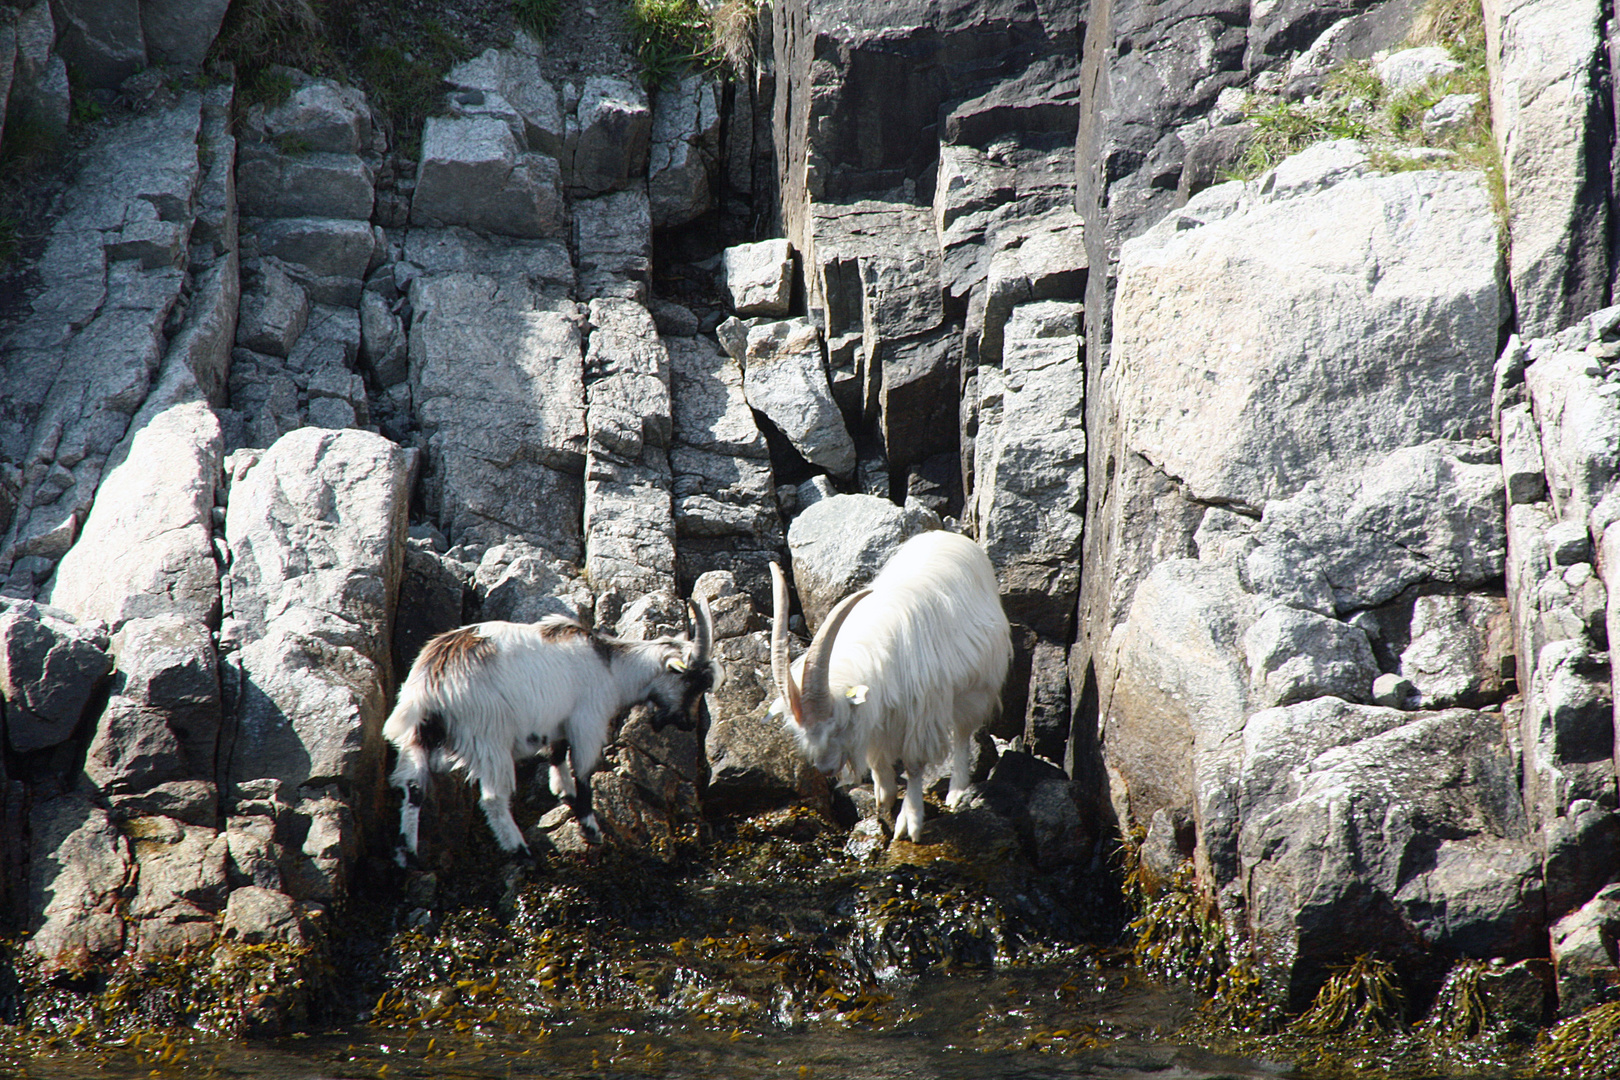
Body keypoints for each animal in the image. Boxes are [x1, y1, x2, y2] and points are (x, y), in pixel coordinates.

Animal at [382, 599, 719, 867]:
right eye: (690, 682)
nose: (688, 724)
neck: (611, 668)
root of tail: (431, 682)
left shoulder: (557, 723)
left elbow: (557, 756)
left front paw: (562, 792)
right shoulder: (587, 721)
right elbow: (584, 773)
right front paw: (591, 829)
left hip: (415, 739)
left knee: (413, 787)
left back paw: (407, 854)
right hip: (488, 736)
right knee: (493, 798)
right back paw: (522, 852)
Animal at [771, 531, 1010, 841]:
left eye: (838, 725)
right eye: (800, 731)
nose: (826, 768)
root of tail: (951, 536)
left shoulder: (923, 715)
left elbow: (914, 765)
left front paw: (910, 821)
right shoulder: (877, 714)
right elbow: (877, 756)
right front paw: (883, 795)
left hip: (976, 686)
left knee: (962, 733)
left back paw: (956, 791)